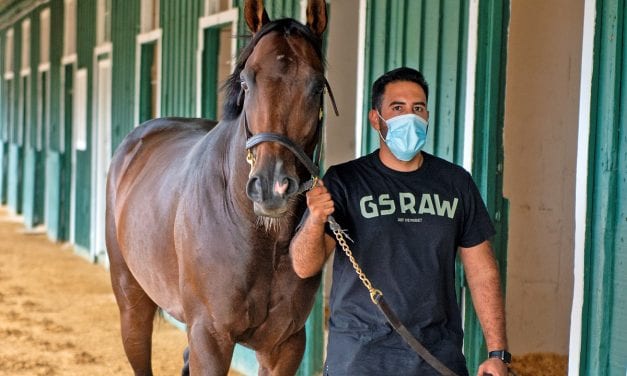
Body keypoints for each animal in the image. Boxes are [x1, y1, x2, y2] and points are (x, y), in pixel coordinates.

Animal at [104, 1, 334, 374]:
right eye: (246, 81)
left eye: (316, 86)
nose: (271, 187)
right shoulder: (210, 338)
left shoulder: (284, 344)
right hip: (132, 302)